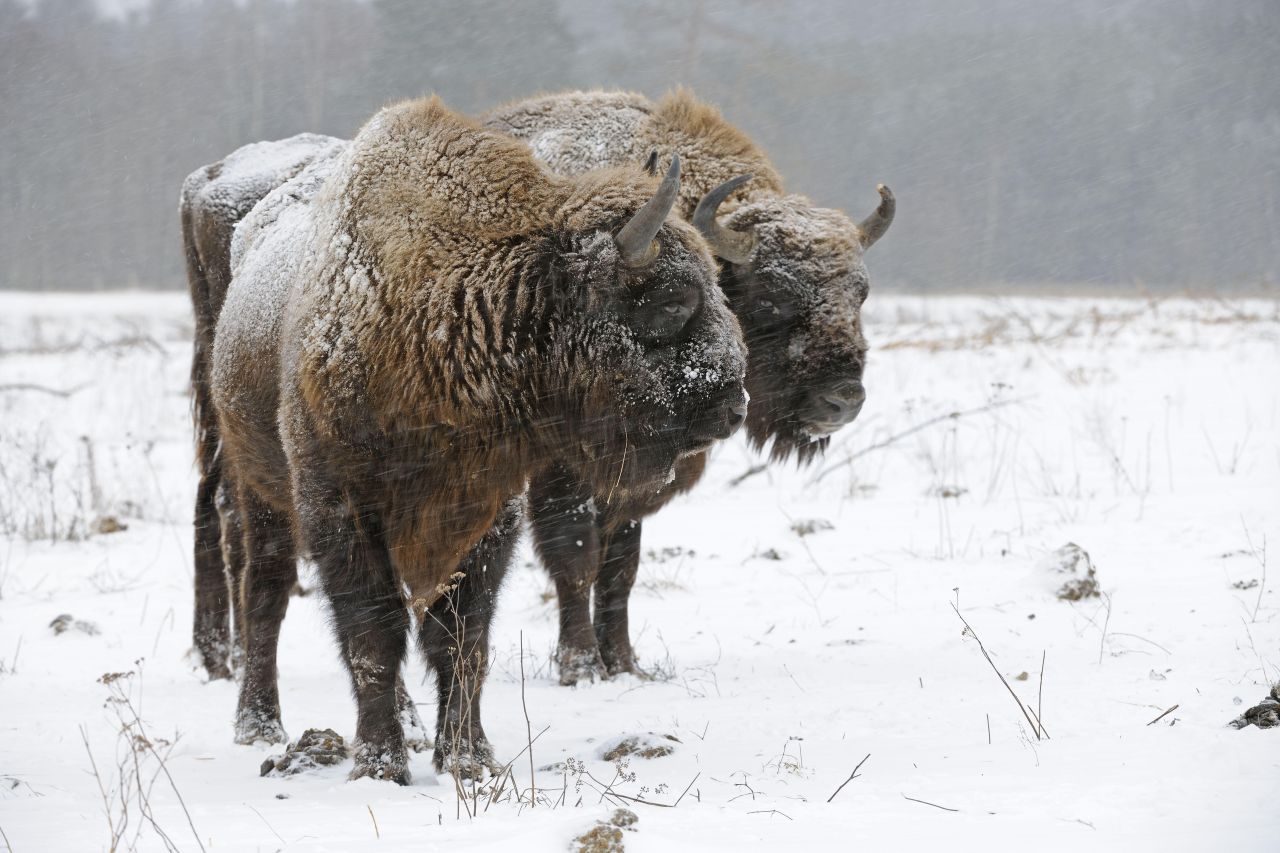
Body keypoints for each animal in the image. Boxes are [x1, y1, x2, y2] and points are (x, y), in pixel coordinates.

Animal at [203, 96, 747, 778]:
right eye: (672, 300)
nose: (735, 401)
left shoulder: (487, 513)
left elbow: (461, 637)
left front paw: (468, 757)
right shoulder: (344, 509)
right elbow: (373, 635)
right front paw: (380, 764)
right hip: (260, 490)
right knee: (264, 592)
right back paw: (259, 725)